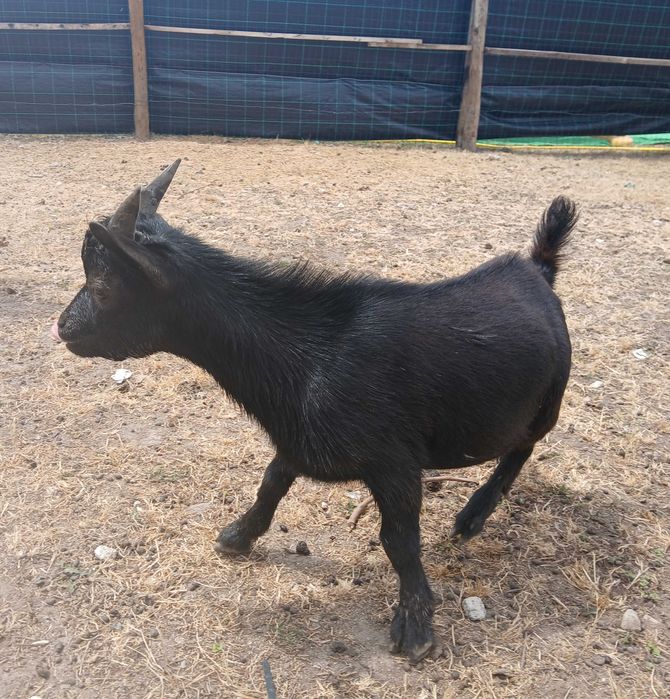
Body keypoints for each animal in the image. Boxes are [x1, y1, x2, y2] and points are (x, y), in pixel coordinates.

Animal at [52, 160, 577, 663]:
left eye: (103, 287)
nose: (62, 327)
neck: (311, 357)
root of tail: (538, 271)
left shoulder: (395, 463)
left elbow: (399, 540)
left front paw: (415, 628)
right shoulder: (297, 441)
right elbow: (271, 483)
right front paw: (238, 536)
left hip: (545, 401)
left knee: (523, 448)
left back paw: (473, 515)